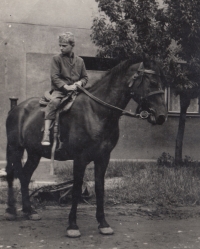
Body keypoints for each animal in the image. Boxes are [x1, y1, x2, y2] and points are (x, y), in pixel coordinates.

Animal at [5, 54, 167, 237]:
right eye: (152, 82)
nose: (162, 116)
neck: (96, 112)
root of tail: (16, 108)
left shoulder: (103, 158)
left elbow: (99, 188)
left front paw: (103, 223)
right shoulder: (80, 159)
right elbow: (76, 189)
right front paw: (72, 225)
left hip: (34, 153)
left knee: (25, 176)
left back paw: (29, 211)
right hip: (15, 148)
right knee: (13, 175)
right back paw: (11, 211)